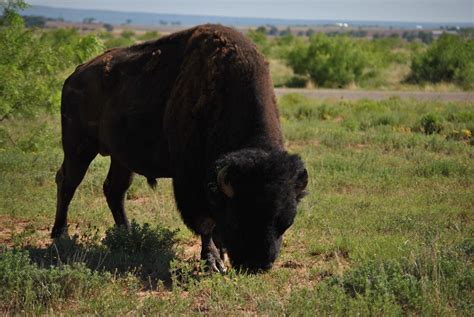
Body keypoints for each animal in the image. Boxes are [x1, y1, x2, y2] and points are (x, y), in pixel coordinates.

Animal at [51, 24, 310, 272]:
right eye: (238, 218)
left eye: (286, 222)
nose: (258, 265)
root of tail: (75, 74)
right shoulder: (191, 181)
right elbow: (205, 223)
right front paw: (213, 262)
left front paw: (221, 254)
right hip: (78, 146)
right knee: (68, 182)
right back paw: (60, 235)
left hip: (121, 158)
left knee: (114, 190)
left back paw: (127, 235)